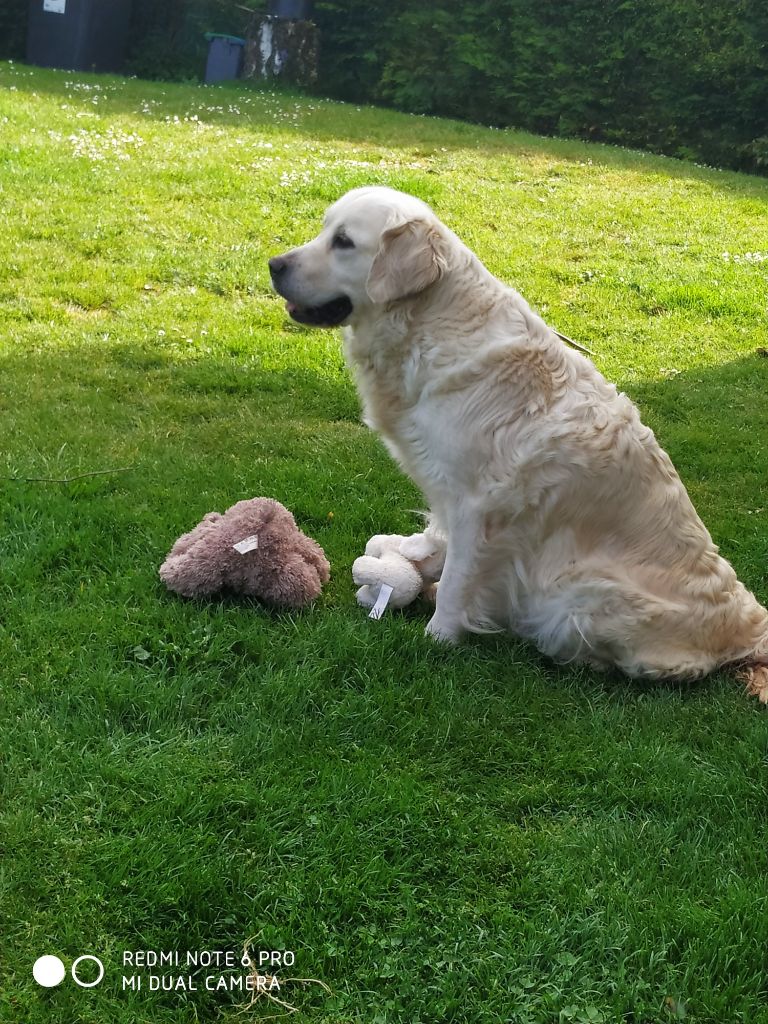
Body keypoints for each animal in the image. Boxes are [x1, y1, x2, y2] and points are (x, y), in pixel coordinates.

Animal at [270, 186, 768, 696]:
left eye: (344, 242)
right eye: (325, 230)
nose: (274, 264)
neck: (430, 322)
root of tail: (749, 625)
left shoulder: (480, 504)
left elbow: (460, 579)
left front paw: (438, 636)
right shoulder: (448, 487)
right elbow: (439, 539)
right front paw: (416, 560)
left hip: (583, 592)